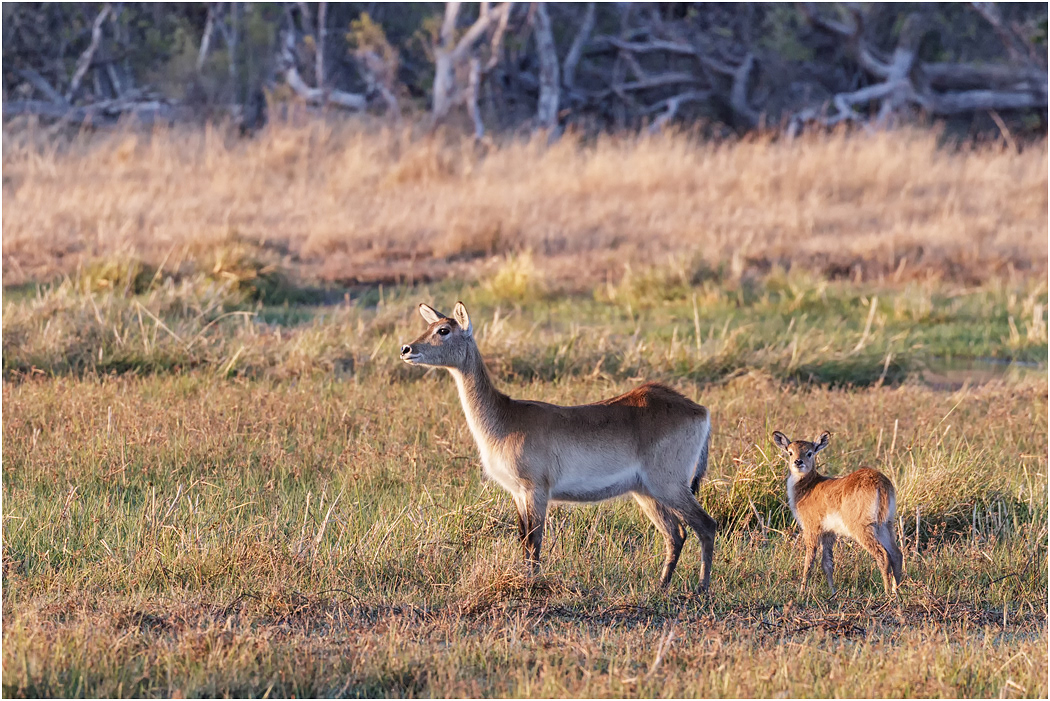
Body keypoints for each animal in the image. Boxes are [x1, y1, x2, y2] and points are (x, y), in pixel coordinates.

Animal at [401, 302, 718, 591]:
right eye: (431, 325)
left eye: (444, 330)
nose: (406, 349)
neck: (504, 417)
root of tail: (700, 409)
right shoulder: (518, 493)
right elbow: (523, 538)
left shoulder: (537, 490)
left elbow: (534, 540)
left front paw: (531, 585)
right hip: (646, 492)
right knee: (676, 534)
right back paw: (660, 587)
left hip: (669, 486)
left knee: (706, 525)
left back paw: (701, 590)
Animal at [772, 430, 903, 596]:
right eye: (790, 452)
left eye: (809, 452)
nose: (798, 462)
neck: (807, 489)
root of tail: (880, 483)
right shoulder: (829, 532)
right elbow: (827, 563)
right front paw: (833, 592)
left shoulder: (811, 527)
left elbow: (809, 561)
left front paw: (801, 592)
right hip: (886, 523)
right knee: (896, 554)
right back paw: (896, 592)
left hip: (862, 526)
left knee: (882, 554)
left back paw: (886, 593)